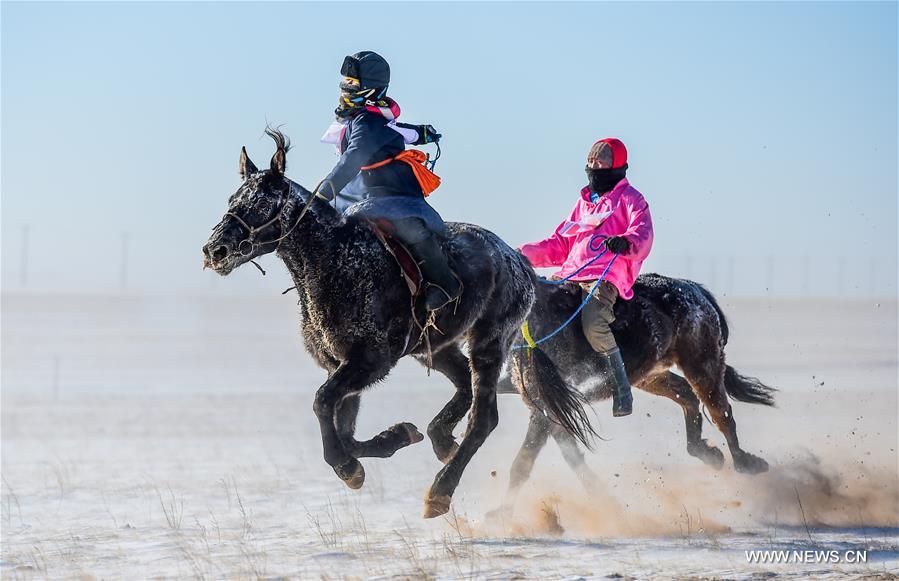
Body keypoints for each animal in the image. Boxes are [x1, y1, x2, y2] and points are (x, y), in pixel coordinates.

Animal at [496, 274, 776, 506]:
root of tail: (695, 290)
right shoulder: (546, 407)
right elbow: (562, 455)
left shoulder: (547, 408)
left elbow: (527, 460)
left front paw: (500, 514)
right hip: (651, 376)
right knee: (686, 396)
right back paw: (707, 452)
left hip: (703, 364)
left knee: (721, 413)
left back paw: (746, 462)